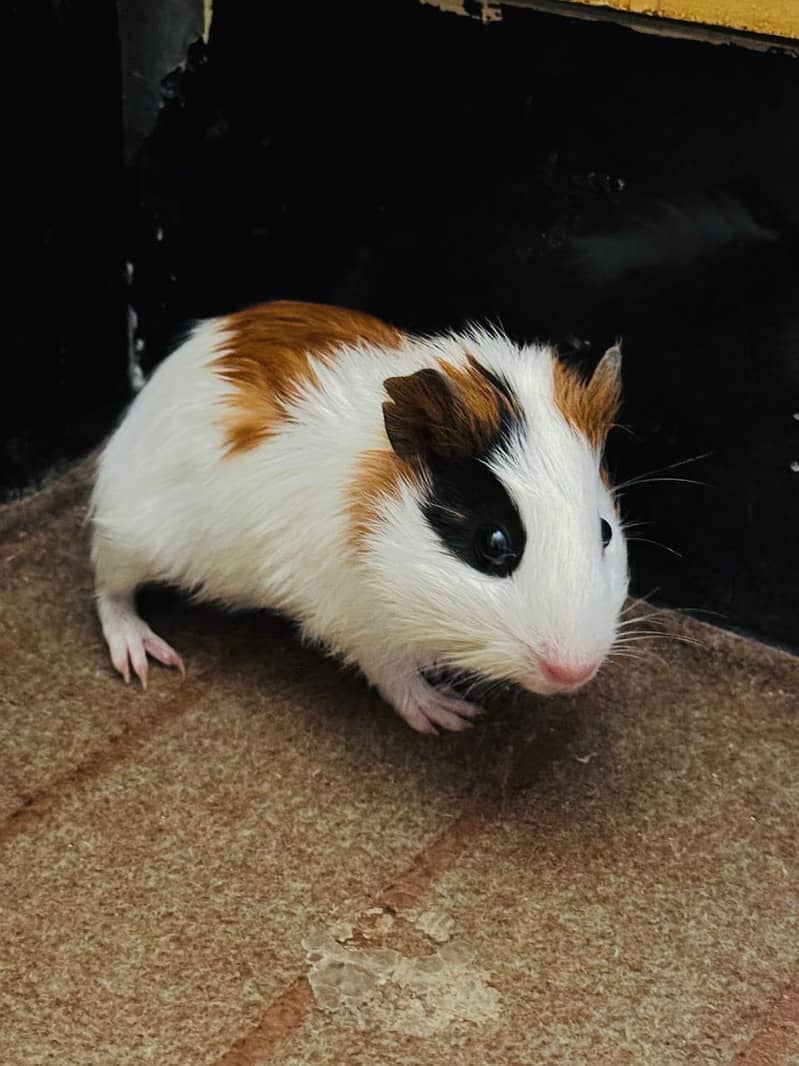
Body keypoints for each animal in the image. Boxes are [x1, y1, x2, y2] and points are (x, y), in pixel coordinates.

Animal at [90, 300, 628, 734]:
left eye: (604, 531)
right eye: (493, 542)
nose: (574, 671)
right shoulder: (358, 622)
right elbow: (394, 674)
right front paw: (448, 718)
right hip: (131, 545)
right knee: (109, 591)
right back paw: (144, 660)